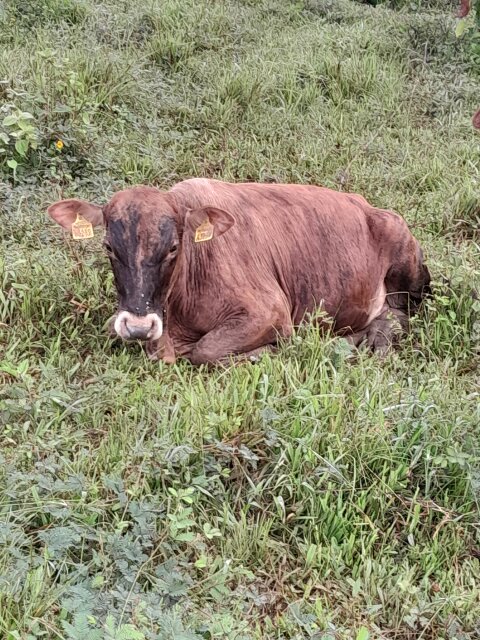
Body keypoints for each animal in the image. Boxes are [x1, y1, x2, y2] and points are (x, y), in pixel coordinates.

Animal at [47, 178, 431, 365]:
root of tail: (366, 205)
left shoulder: (271, 311)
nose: (140, 327)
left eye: (173, 248)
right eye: (109, 247)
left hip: (408, 264)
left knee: (403, 313)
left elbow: (205, 352)